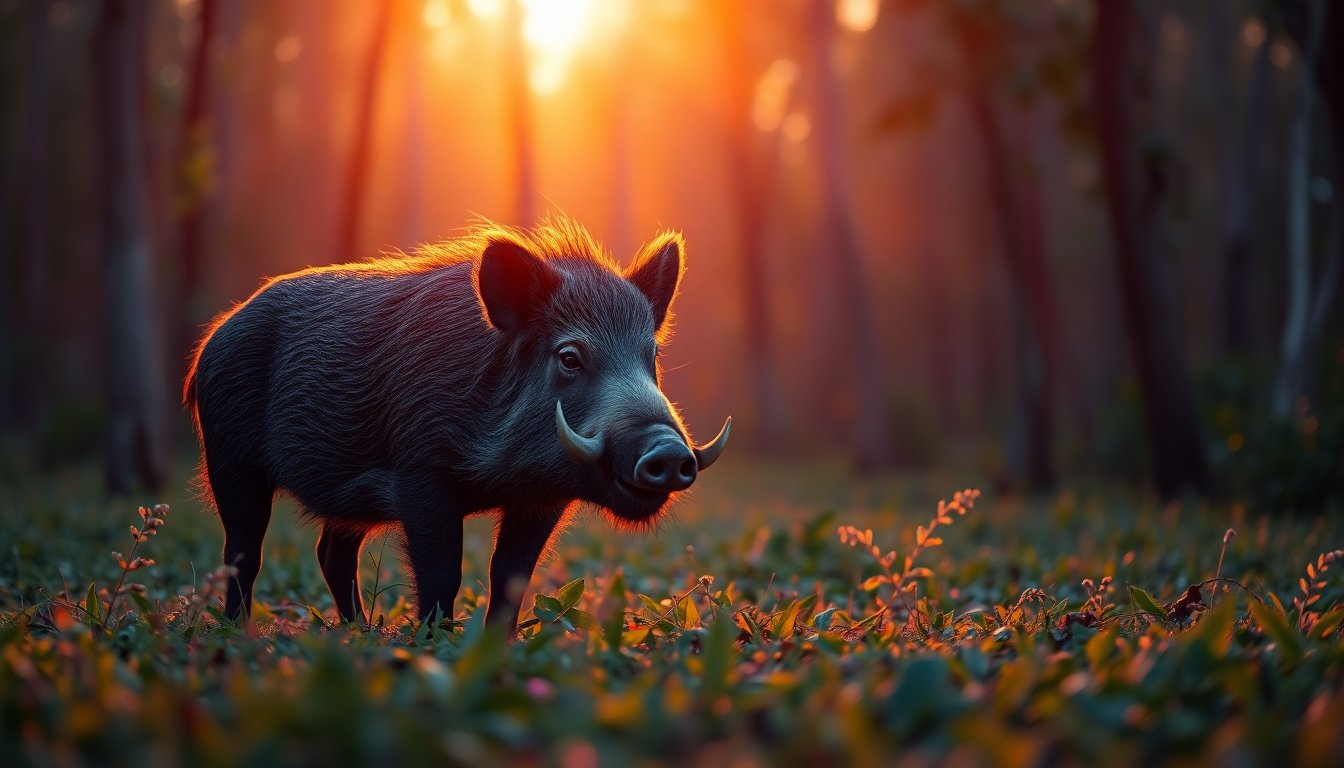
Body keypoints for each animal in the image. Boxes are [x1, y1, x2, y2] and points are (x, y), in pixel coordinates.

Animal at [183, 218, 729, 630]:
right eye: (570, 357)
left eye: (651, 355)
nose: (669, 453)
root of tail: (209, 344)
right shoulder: (420, 474)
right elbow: (443, 574)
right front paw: (434, 644)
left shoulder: (542, 500)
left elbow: (510, 579)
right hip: (230, 461)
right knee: (243, 552)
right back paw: (239, 635)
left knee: (332, 554)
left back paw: (359, 633)